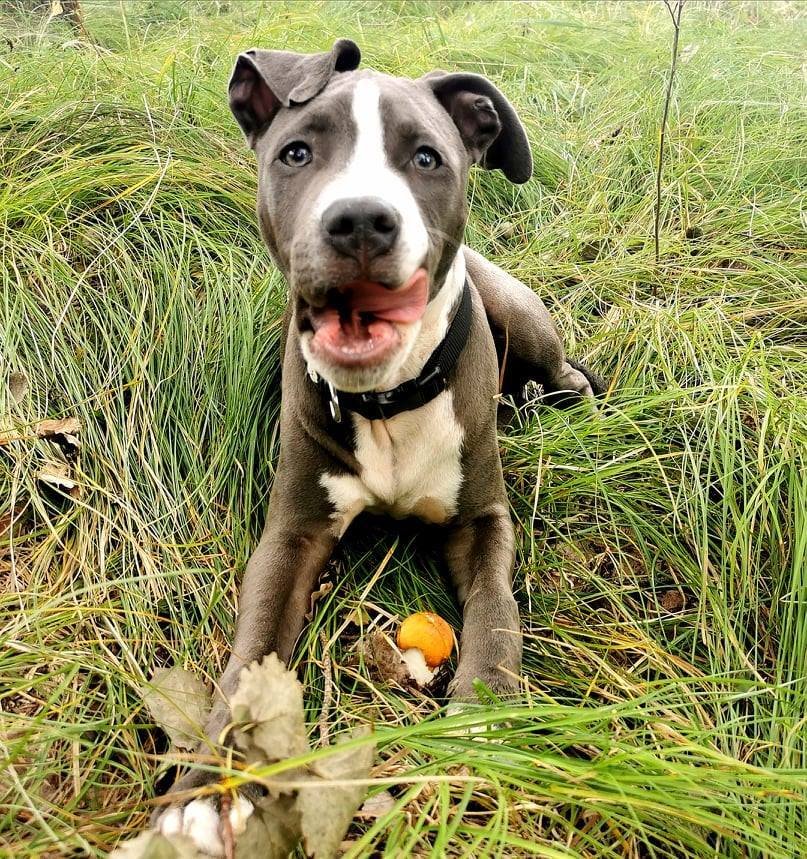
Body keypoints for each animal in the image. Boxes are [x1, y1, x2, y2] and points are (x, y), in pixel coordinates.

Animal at [155, 38, 604, 852]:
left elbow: (496, 611)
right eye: (296, 153)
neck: (388, 396)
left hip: (523, 317)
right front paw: (210, 787)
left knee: (564, 375)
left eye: (427, 158)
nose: (360, 220)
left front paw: (484, 714)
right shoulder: (291, 535)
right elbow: (250, 653)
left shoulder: (482, 520)